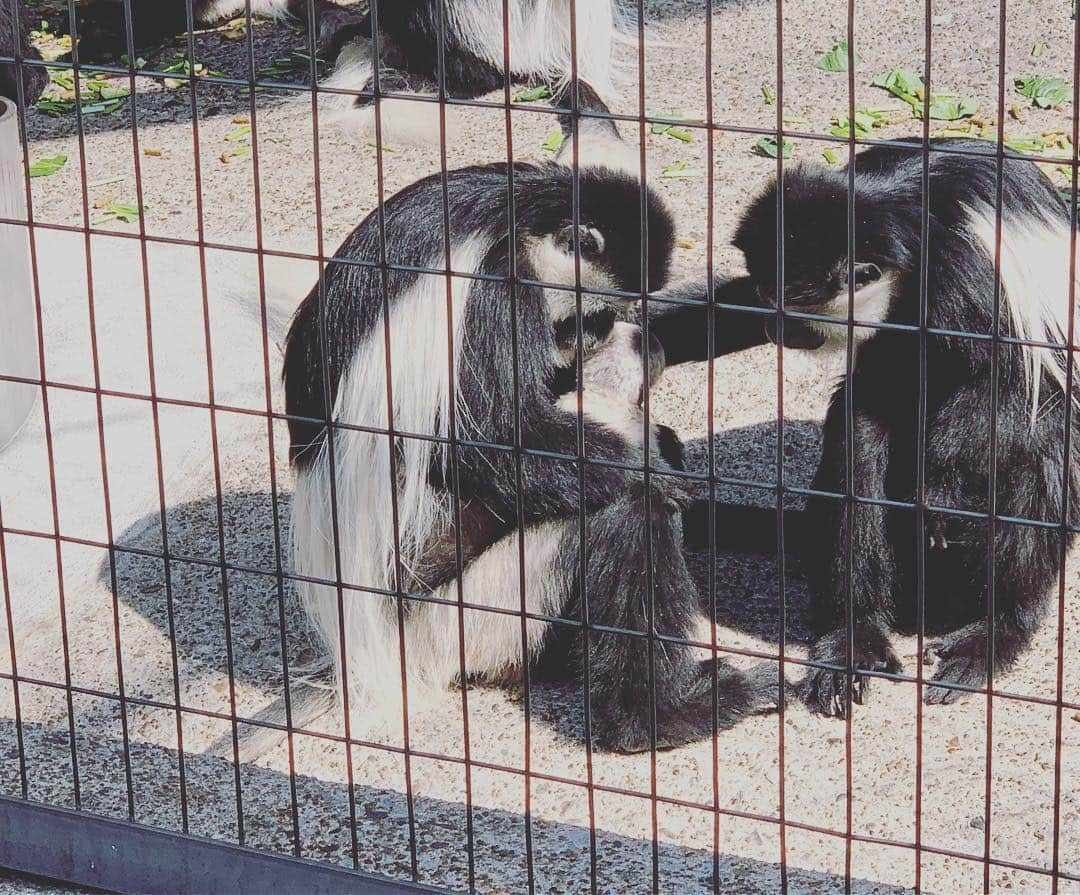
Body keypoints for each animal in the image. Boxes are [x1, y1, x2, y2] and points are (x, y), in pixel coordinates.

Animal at [282, 161, 777, 755]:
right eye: (592, 316)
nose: (588, 342)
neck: (518, 220)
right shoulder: (498, 291)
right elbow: (480, 445)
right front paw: (647, 465)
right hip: (465, 615)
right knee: (619, 513)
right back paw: (658, 717)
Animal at [725, 138, 1080, 712]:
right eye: (762, 293)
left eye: (792, 312)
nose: (771, 328)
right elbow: (878, 396)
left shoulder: (971, 274)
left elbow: (1007, 389)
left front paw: (936, 490)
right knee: (859, 450)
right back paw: (855, 641)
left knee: (1038, 456)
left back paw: (995, 632)